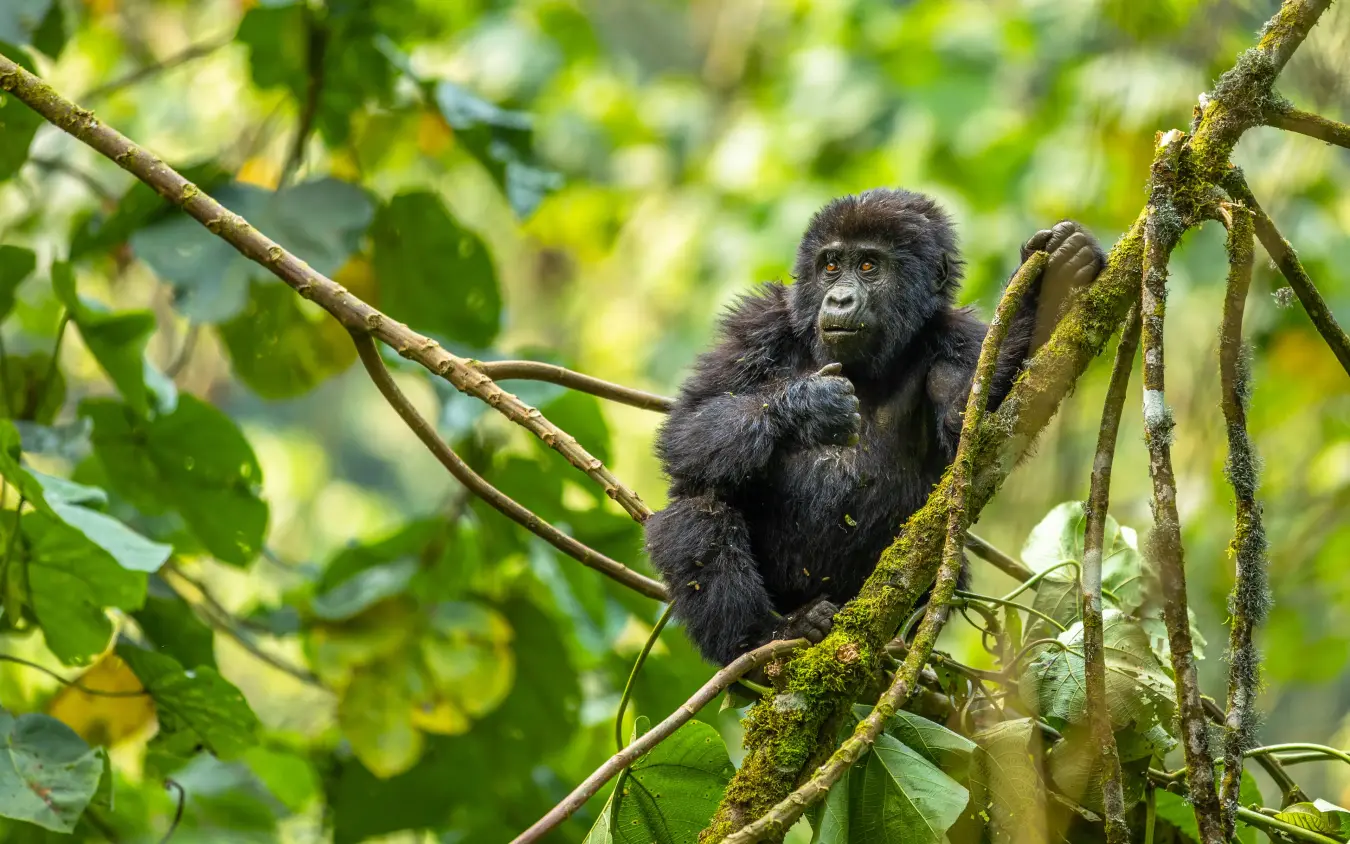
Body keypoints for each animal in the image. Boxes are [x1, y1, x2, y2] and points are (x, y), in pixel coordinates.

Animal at [644, 188, 1105, 665]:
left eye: (868, 266)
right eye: (831, 265)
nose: (839, 300)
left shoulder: (960, 339)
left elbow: (974, 428)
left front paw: (1042, 290)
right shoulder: (757, 325)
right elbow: (688, 428)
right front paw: (810, 406)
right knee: (698, 504)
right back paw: (765, 635)